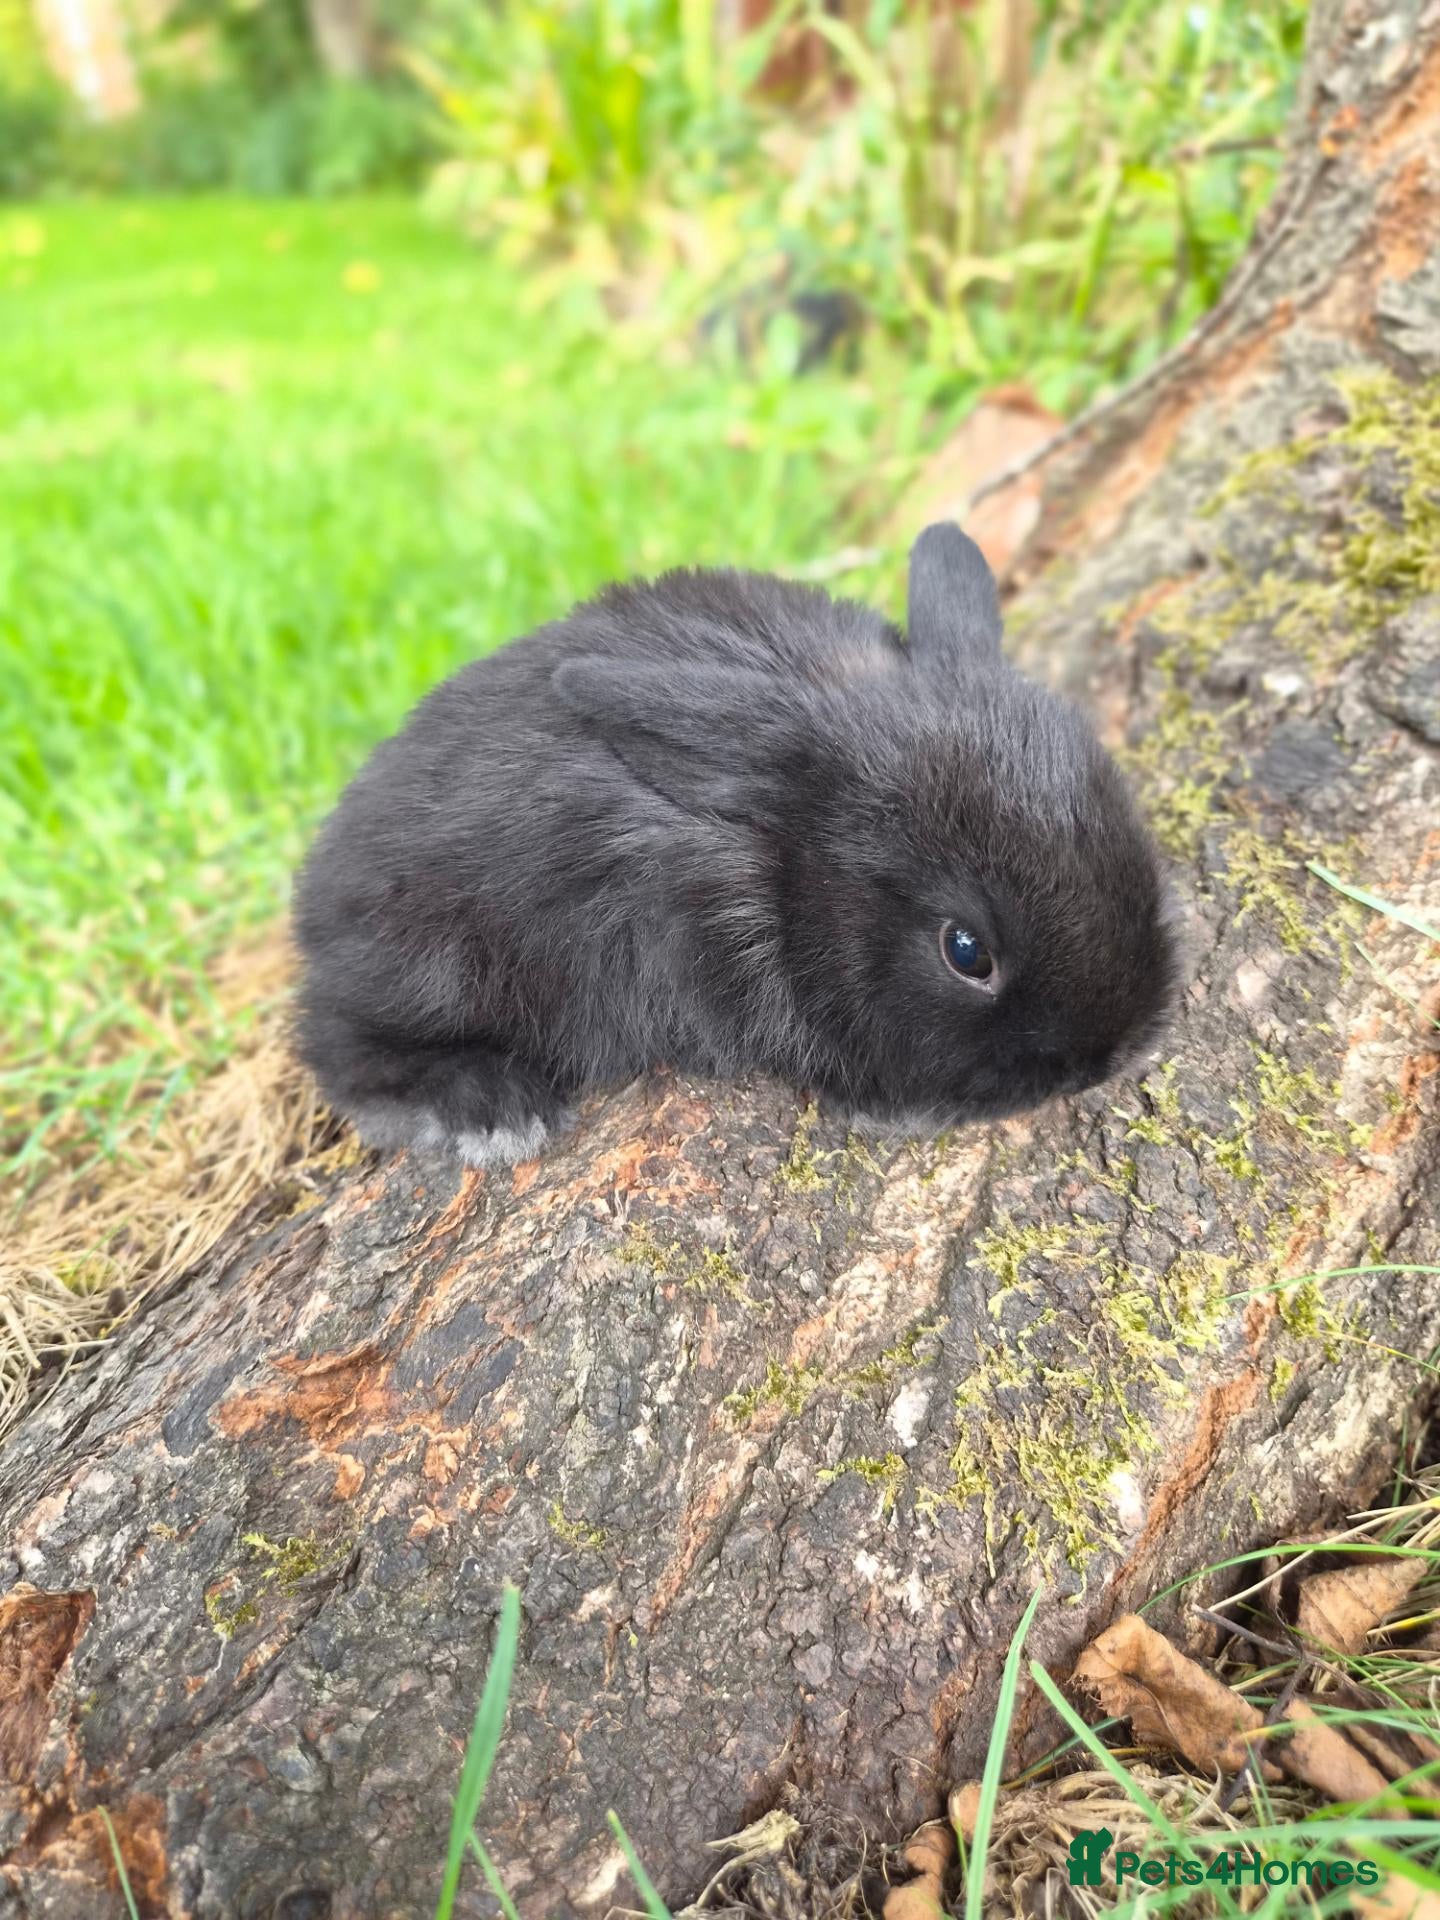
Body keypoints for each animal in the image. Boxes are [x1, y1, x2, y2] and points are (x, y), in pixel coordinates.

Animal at [292, 524, 1179, 1166]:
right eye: (966, 951)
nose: (1106, 1059)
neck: (779, 863)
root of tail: (316, 901)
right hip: (436, 965)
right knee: (339, 1047)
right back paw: (489, 1109)